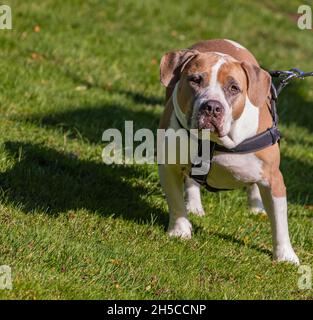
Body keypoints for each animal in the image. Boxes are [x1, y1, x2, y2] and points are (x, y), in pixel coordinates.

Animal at [157, 39, 298, 264]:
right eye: (195, 80)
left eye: (234, 88)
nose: (212, 107)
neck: (215, 142)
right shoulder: (169, 166)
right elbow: (176, 201)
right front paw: (180, 230)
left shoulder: (274, 179)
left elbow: (280, 221)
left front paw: (285, 255)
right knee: (190, 180)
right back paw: (194, 205)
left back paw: (256, 206)